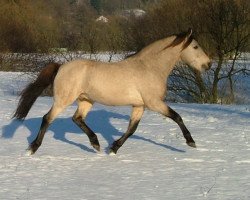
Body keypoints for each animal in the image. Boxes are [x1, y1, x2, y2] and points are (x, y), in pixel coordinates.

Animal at [13, 28, 211, 155]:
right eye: (195, 47)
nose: (208, 65)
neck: (149, 67)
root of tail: (61, 66)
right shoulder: (154, 103)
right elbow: (177, 117)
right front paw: (191, 142)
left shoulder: (139, 105)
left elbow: (132, 129)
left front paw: (114, 148)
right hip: (64, 100)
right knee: (48, 118)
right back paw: (32, 148)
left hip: (86, 100)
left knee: (77, 118)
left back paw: (96, 144)